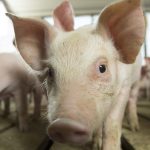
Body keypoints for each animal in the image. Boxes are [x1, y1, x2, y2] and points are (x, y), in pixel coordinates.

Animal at [7, 0, 145, 149]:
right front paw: (96, 144)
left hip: (136, 81)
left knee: (132, 99)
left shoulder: (124, 87)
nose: (64, 125)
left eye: (102, 68)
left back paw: (135, 128)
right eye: (50, 72)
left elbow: (111, 125)